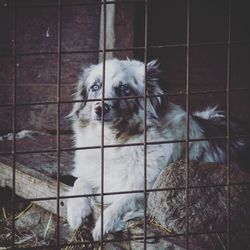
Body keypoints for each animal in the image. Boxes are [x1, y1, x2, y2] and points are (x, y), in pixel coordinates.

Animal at [66, 58, 248, 240]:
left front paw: (105, 223)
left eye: (125, 89)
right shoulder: (95, 175)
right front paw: (76, 211)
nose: (99, 109)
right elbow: (80, 182)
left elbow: (124, 201)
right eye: (95, 87)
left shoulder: (147, 191)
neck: (117, 143)